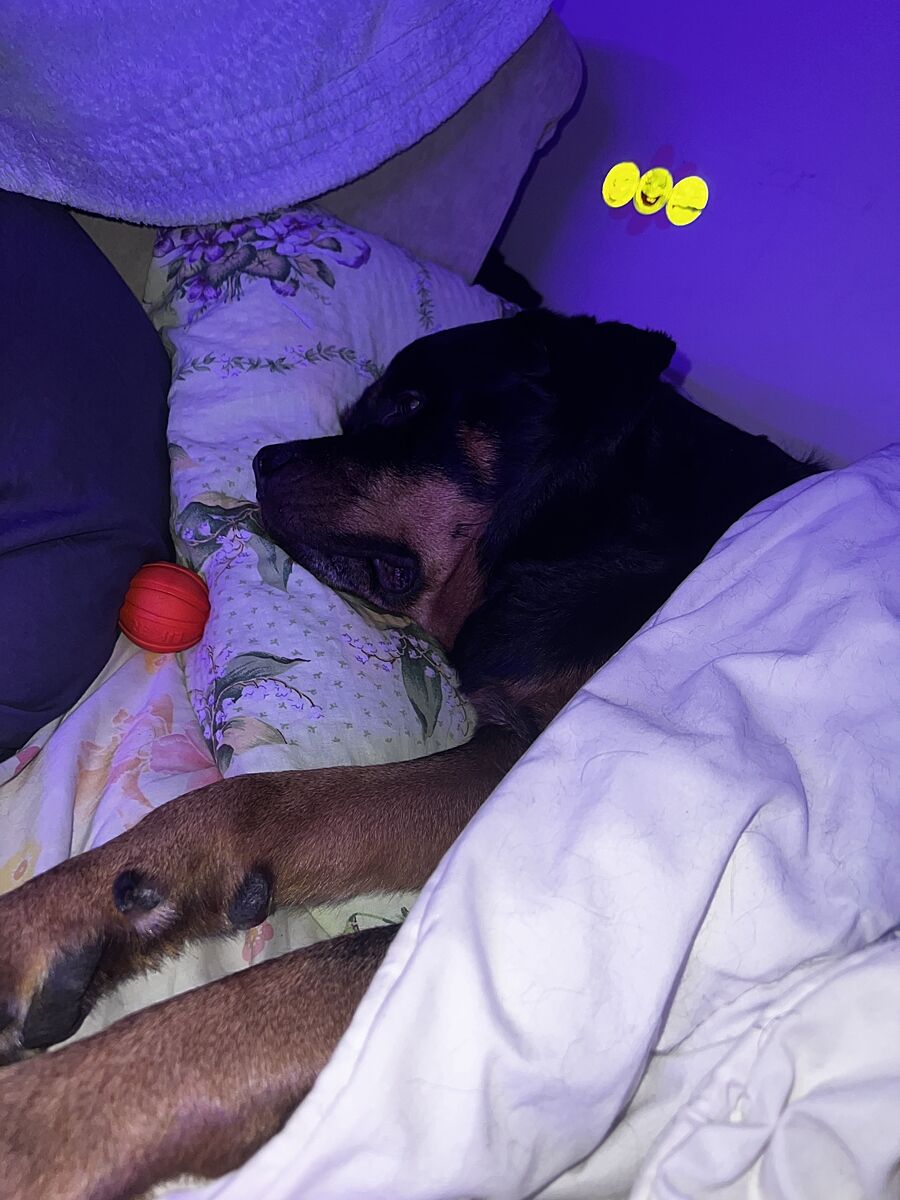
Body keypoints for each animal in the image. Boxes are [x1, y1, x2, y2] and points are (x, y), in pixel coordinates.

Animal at [0, 311, 818, 1199]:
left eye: (411, 404)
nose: (265, 459)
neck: (586, 528)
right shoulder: (521, 761)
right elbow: (263, 800)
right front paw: (65, 917)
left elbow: (257, 1006)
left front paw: (34, 1126)